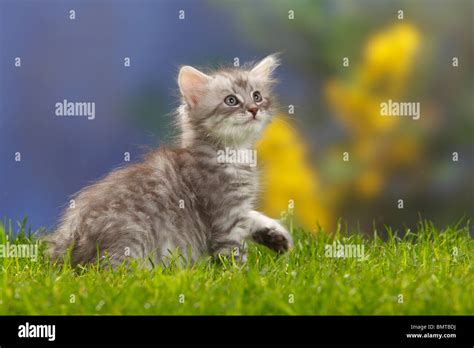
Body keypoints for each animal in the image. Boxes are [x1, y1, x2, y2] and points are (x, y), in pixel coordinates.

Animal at [47, 54, 292, 268]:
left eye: (257, 96)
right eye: (231, 100)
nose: (253, 109)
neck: (233, 152)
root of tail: (65, 246)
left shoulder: (238, 210)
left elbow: (251, 215)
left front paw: (275, 234)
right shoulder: (224, 217)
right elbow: (233, 256)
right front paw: (243, 276)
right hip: (130, 240)